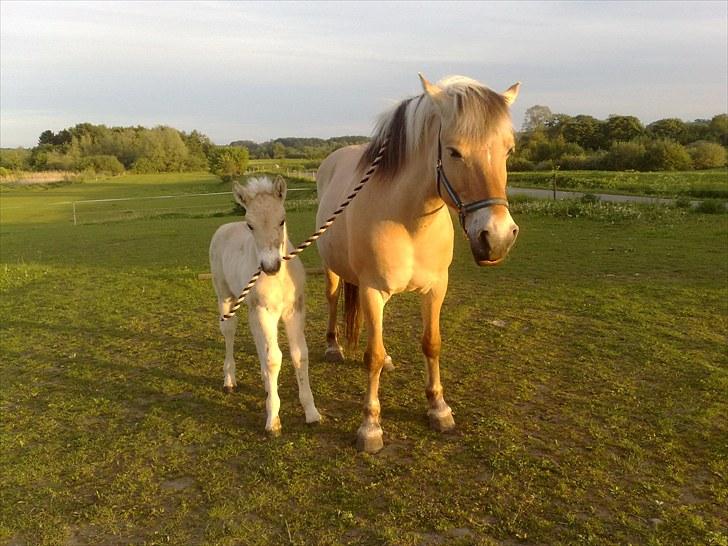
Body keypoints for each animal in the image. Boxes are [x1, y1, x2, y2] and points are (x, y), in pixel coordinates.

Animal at [212, 174, 322, 434]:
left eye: (282, 220)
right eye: (250, 225)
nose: (270, 266)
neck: (279, 279)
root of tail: (224, 228)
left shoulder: (294, 311)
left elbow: (299, 355)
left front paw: (311, 412)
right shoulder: (265, 312)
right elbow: (274, 359)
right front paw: (273, 418)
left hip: (253, 309)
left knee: (258, 339)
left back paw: (264, 383)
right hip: (226, 297)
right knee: (229, 332)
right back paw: (229, 380)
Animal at [316, 74, 520, 452]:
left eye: (508, 150)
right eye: (453, 151)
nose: (497, 237)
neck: (407, 219)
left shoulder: (436, 289)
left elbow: (431, 343)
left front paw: (439, 409)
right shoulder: (371, 291)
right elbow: (371, 356)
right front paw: (370, 427)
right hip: (333, 271)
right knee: (334, 300)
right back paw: (333, 346)